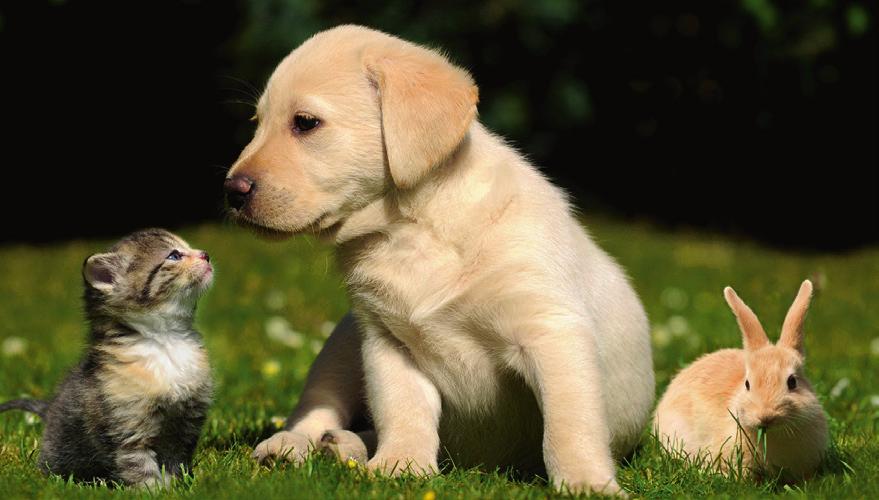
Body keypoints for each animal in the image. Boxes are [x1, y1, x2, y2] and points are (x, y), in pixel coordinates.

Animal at [0, 230, 215, 488]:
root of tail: (49, 409)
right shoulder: (128, 428)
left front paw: (179, 486)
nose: (206, 254)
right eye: (174, 255)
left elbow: (176, 461)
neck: (166, 341)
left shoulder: (186, 424)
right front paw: (154, 490)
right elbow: (139, 466)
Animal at [230, 25, 656, 494]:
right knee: (320, 404)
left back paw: (343, 446)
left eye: (305, 123)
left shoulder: (552, 331)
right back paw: (298, 444)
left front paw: (586, 483)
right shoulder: (387, 342)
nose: (232, 191)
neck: (412, 230)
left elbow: (569, 425)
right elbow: (402, 410)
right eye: (256, 124)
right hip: (342, 343)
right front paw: (400, 466)